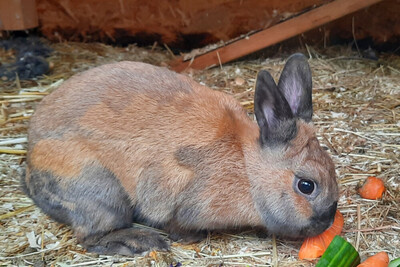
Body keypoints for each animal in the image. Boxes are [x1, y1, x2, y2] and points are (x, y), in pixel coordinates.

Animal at [21, 53, 340, 256]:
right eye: (306, 186)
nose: (327, 220)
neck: (247, 169)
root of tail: (30, 169)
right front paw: (187, 237)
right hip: (100, 191)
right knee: (91, 236)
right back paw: (139, 243)